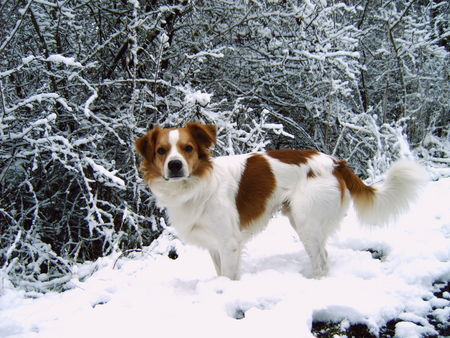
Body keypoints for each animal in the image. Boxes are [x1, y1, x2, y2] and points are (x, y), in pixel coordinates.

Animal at [134, 123, 426, 278]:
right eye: (161, 151)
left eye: (188, 149)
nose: (174, 165)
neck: (197, 186)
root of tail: (335, 162)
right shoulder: (214, 244)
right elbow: (220, 273)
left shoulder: (229, 243)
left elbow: (229, 276)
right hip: (301, 220)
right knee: (323, 256)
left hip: (307, 222)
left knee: (322, 261)